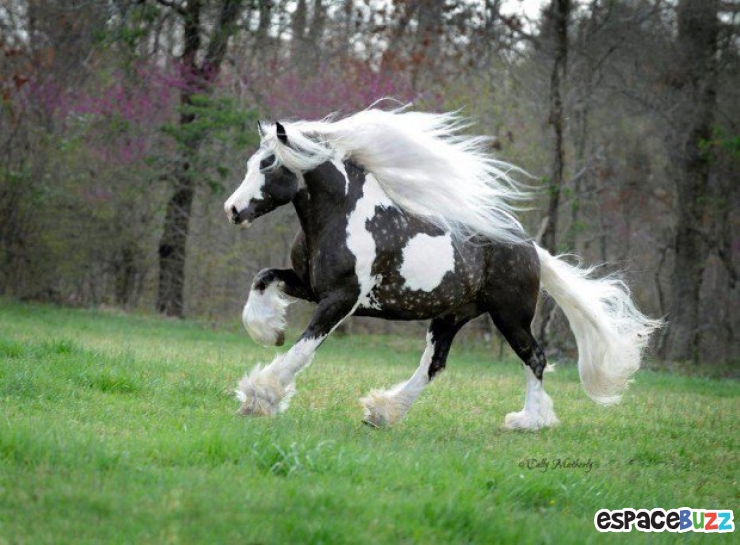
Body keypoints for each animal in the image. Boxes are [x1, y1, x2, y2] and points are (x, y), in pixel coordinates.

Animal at [223, 107, 661, 429]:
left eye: (268, 164)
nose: (232, 209)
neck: (342, 215)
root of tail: (528, 246)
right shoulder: (310, 286)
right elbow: (262, 280)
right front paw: (268, 331)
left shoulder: (341, 298)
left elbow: (304, 347)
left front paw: (260, 396)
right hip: (451, 316)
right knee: (434, 365)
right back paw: (383, 411)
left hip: (510, 316)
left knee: (535, 358)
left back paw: (527, 422)